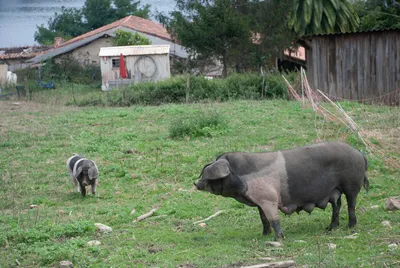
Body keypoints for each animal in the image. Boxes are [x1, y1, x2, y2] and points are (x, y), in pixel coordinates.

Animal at [194, 141, 368, 240]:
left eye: (207, 176)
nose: (195, 183)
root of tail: (360, 154)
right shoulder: (260, 202)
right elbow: (263, 219)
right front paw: (264, 235)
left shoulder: (269, 198)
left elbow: (273, 219)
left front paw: (279, 238)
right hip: (335, 191)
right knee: (337, 206)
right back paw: (330, 228)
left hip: (351, 185)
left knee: (351, 205)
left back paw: (350, 227)